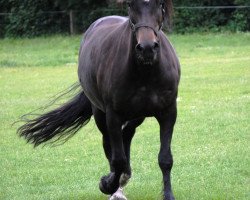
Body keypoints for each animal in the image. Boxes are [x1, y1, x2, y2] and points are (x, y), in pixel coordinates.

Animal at [18, 0, 181, 199]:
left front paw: (168, 194)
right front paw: (107, 184)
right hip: (100, 114)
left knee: (127, 135)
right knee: (110, 145)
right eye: (130, 5)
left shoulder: (168, 113)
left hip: (137, 115)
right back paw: (117, 186)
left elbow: (165, 159)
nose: (147, 48)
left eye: (160, 5)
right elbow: (117, 159)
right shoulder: (113, 115)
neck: (145, 72)